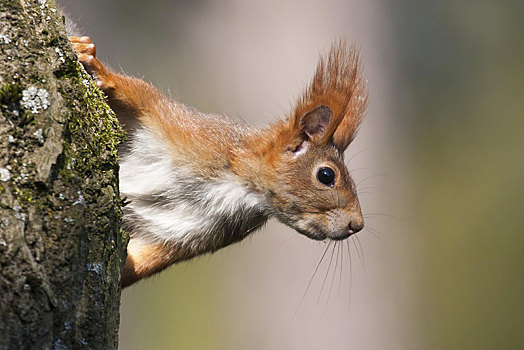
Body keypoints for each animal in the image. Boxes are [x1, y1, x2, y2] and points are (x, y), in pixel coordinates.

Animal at [68, 34, 368, 288]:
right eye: (326, 176)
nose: (357, 225)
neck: (237, 186)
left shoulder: (191, 236)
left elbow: (143, 261)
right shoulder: (183, 127)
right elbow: (139, 94)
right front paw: (94, 62)